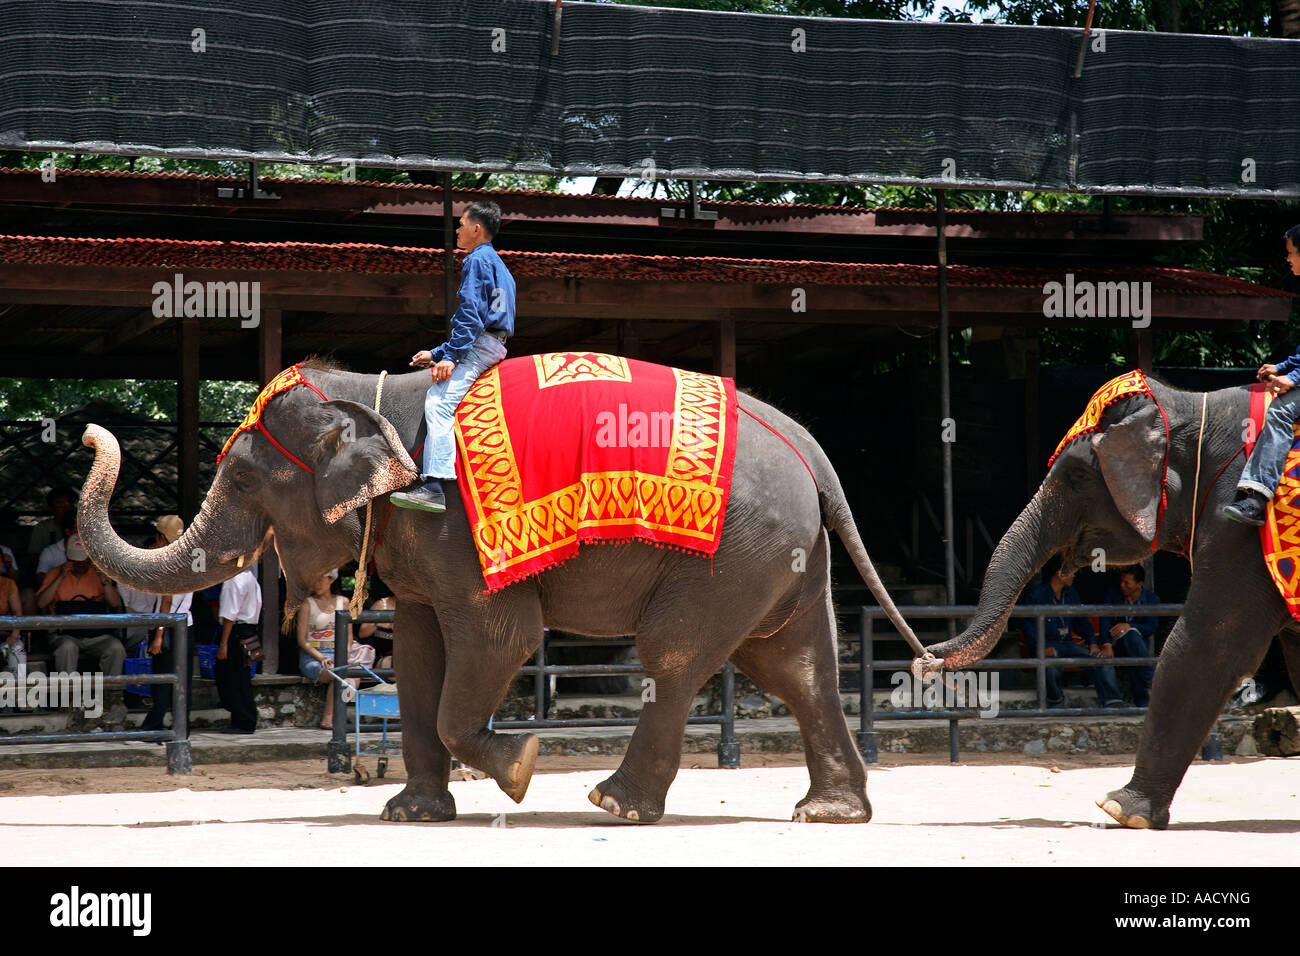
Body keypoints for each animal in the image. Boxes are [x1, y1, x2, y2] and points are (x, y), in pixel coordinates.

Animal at [76, 356, 920, 822]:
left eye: (247, 480)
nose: (88, 429)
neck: (379, 393)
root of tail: (808, 445)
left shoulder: (452, 526)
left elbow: (499, 640)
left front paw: (518, 768)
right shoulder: (421, 550)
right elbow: (420, 656)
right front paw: (411, 813)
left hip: (731, 556)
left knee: (676, 655)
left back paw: (616, 804)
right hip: (782, 558)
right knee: (798, 668)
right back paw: (830, 813)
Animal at [915, 374, 1300, 832]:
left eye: (1078, 475)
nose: (924, 660)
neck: (1190, 405)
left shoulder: (1239, 522)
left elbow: (1206, 645)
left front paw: (1119, 809)